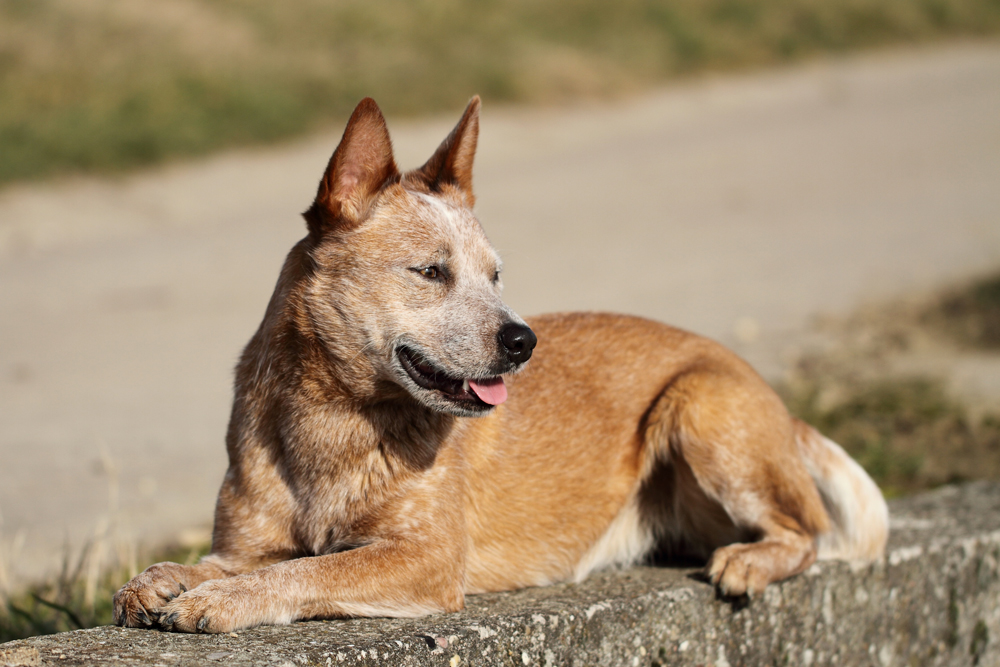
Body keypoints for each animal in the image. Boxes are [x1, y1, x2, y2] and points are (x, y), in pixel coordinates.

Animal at [113, 96, 888, 636]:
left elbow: (312, 569)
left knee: (807, 530)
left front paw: (220, 598)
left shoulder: (424, 557)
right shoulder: (253, 540)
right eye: (432, 271)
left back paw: (750, 560)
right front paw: (162, 579)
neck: (332, 417)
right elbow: (222, 561)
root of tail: (772, 395)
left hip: (700, 405)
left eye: (495, 274)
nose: (523, 340)